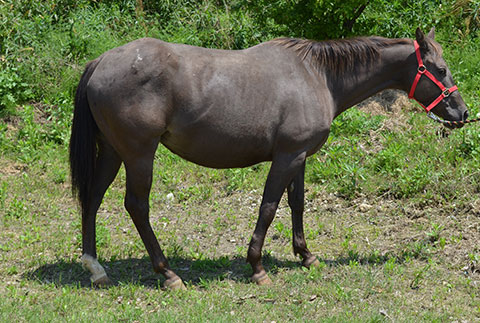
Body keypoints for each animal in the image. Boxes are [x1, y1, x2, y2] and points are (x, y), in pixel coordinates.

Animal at [70, 28, 468, 292]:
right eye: (440, 69)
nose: (462, 113)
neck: (317, 76)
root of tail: (101, 61)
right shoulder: (287, 156)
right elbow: (269, 206)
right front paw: (257, 265)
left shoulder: (299, 156)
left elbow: (297, 204)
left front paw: (306, 255)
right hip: (139, 154)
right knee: (137, 206)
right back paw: (167, 273)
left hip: (113, 152)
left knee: (93, 198)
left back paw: (96, 268)